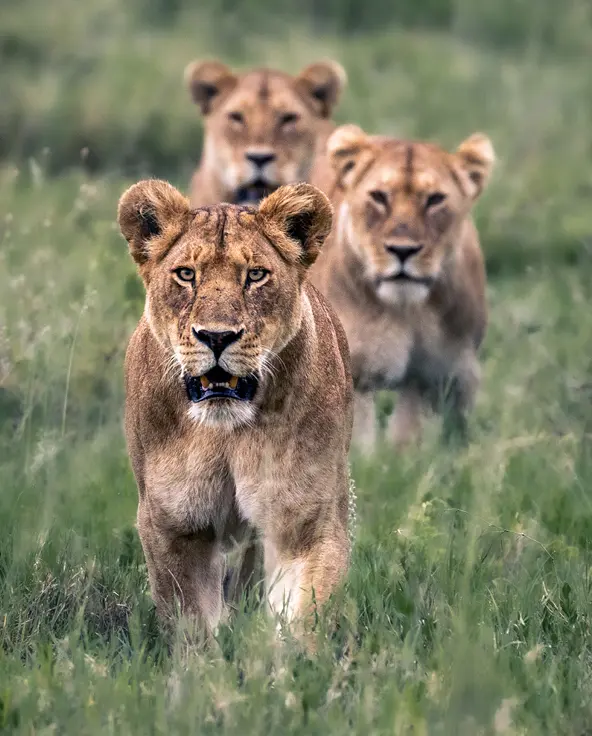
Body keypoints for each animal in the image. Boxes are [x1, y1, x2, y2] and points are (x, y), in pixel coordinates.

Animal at [117, 179, 353, 642]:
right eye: (186, 274)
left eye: (255, 275)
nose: (216, 336)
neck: (226, 434)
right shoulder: (172, 523)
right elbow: (192, 622)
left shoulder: (308, 518)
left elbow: (303, 615)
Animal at [309, 125, 495, 450]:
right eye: (379, 197)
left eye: (435, 199)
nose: (403, 250)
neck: (406, 310)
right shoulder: (355, 371)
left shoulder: (441, 372)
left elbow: (413, 435)